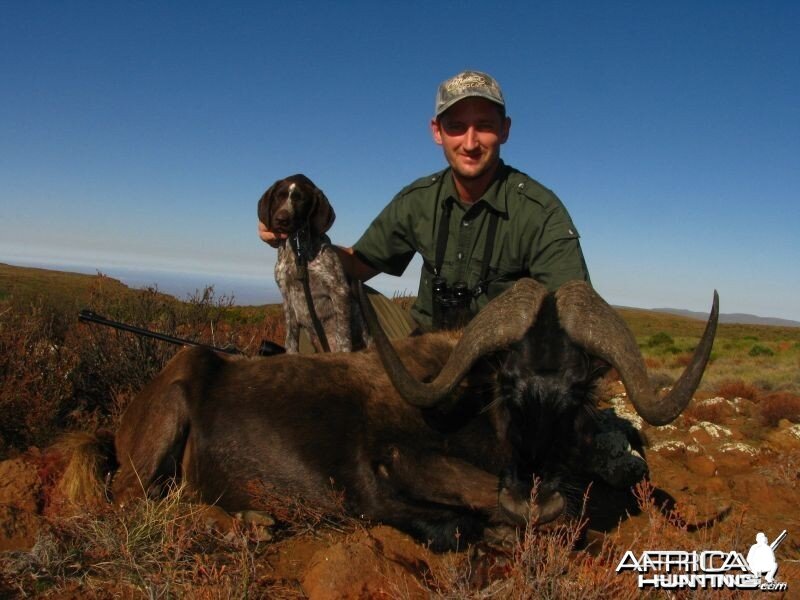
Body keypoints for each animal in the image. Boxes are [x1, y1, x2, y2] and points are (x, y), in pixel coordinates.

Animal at [258, 173, 370, 352]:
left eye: (301, 200)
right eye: (278, 197)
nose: (281, 219)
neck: (297, 249)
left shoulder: (339, 290)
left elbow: (344, 337)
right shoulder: (286, 296)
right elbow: (290, 340)